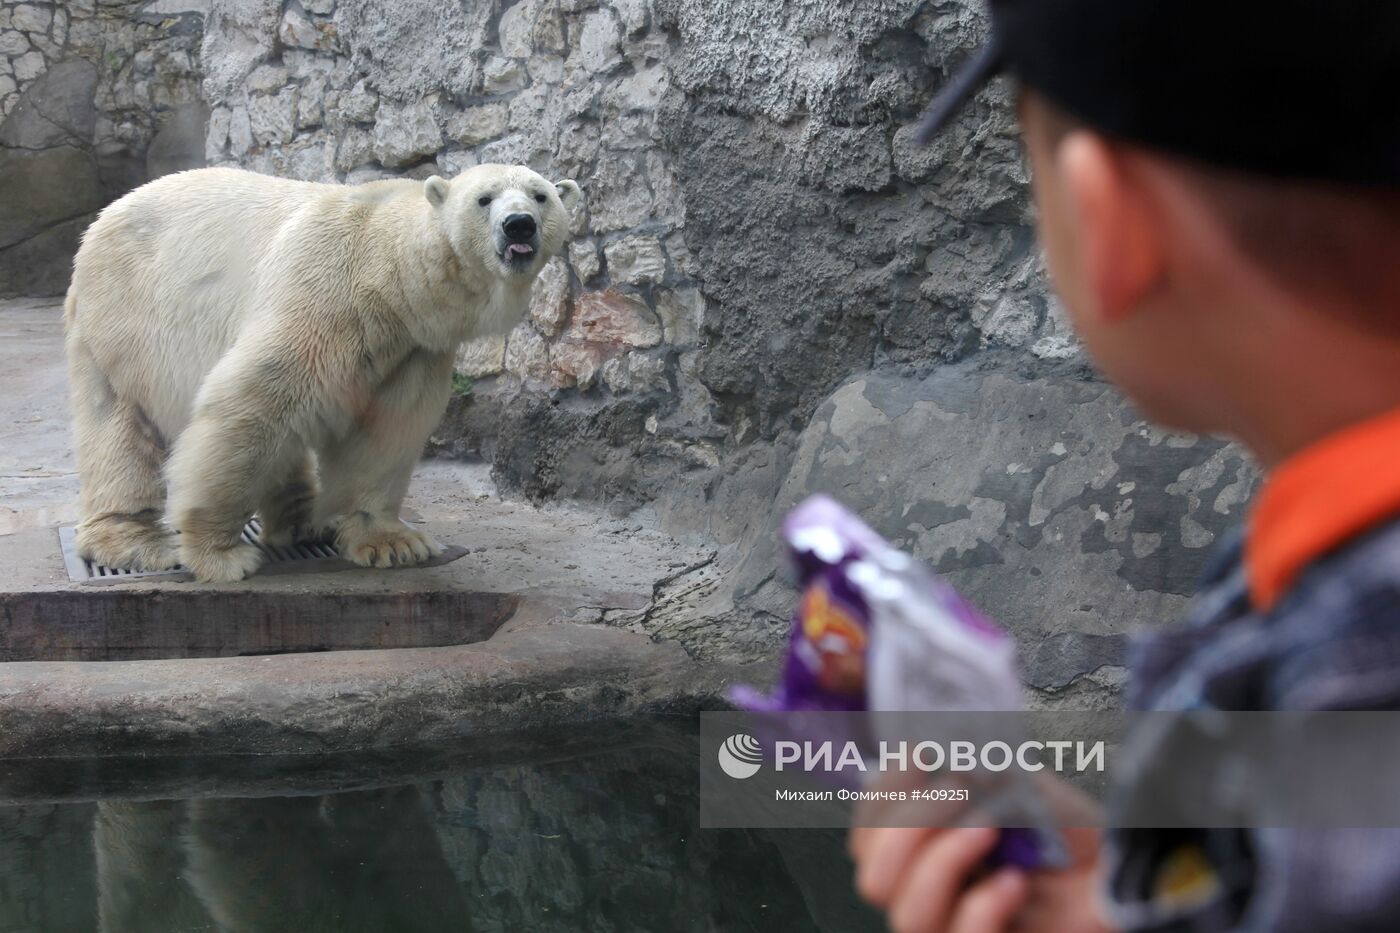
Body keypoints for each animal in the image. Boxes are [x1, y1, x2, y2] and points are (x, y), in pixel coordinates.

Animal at [64, 163, 579, 577]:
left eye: (540, 195)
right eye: (484, 198)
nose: (519, 226)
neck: (386, 274)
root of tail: (101, 221)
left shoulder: (413, 350)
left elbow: (388, 431)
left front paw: (393, 543)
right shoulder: (323, 295)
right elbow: (251, 405)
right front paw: (218, 553)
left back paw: (302, 522)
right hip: (126, 318)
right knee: (121, 426)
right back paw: (136, 543)